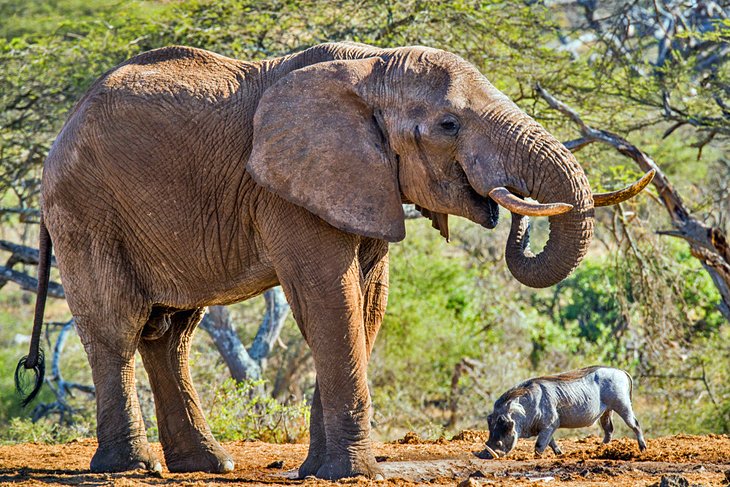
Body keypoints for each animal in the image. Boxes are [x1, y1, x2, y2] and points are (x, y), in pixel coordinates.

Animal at [14, 42, 648, 480]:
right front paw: (353, 475)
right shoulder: (285, 190)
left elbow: (364, 304)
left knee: (169, 333)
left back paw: (208, 465)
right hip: (86, 209)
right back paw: (131, 468)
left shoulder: (364, 182)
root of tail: (57, 138)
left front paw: (317, 473)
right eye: (449, 125)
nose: (508, 207)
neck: (371, 69)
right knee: (117, 327)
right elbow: (328, 298)